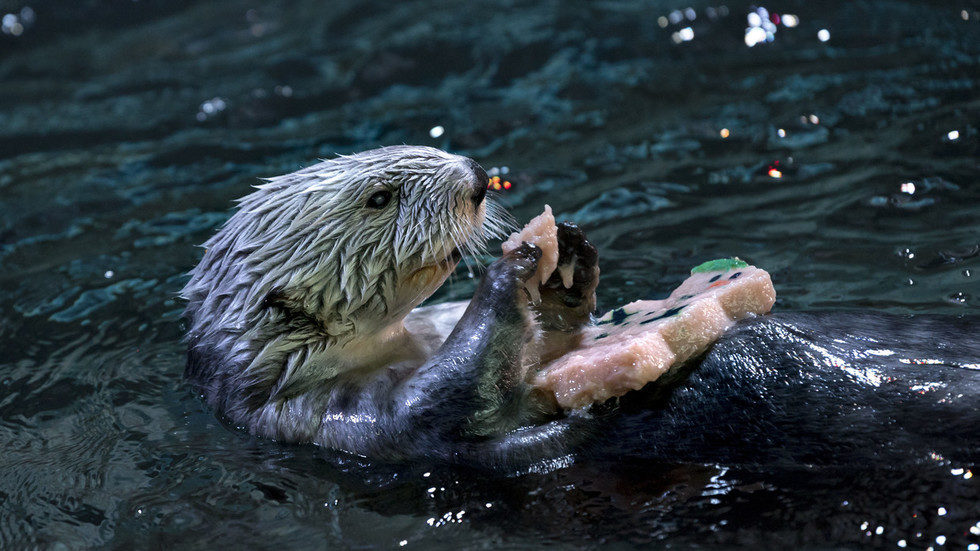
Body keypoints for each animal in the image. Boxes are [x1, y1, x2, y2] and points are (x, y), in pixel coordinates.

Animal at [183, 146, 979, 471]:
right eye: (379, 197)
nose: (477, 175)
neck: (403, 340)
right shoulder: (341, 418)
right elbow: (446, 403)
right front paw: (511, 273)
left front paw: (568, 261)